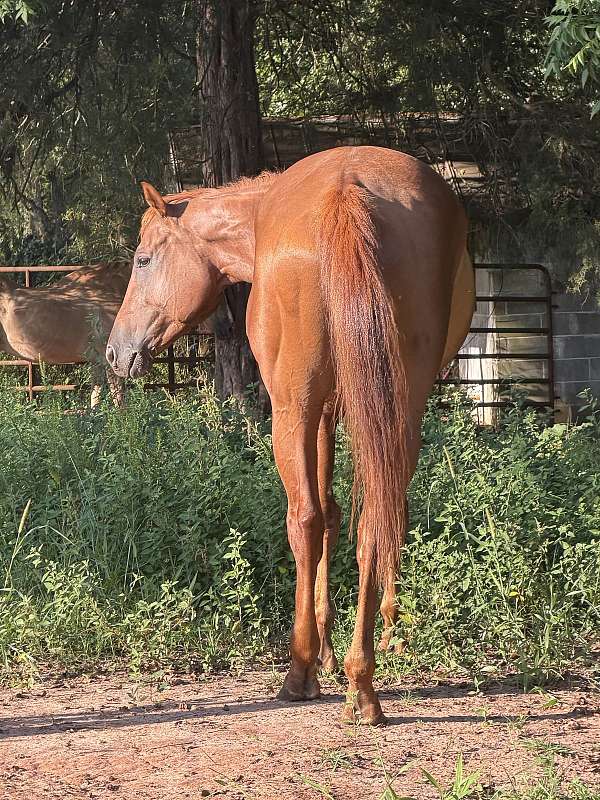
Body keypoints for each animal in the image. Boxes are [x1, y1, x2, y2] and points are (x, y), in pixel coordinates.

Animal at [106, 146, 475, 724]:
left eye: (144, 260)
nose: (114, 353)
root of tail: (346, 195)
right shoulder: (334, 412)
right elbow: (337, 515)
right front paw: (339, 646)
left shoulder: (306, 409)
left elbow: (315, 517)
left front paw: (315, 654)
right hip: (399, 409)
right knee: (378, 518)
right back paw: (363, 680)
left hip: (292, 411)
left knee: (303, 519)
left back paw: (301, 671)